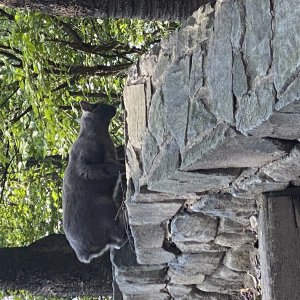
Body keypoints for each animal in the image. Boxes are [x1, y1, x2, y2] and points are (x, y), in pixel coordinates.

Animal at [62, 101, 126, 262]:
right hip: (104, 205)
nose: (113, 105)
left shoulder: (112, 158)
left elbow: (116, 164)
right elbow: (109, 168)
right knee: (119, 235)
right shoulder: (87, 165)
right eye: (101, 104)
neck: (102, 133)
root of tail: (81, 253)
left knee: (118, 241)